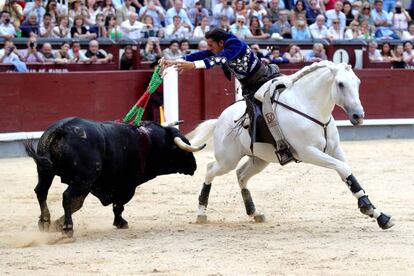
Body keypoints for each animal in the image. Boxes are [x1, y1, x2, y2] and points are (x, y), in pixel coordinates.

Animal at [25, 116, 204, 237]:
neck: (149, 141)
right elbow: (119, 205)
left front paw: (55, 224)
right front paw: (121, 222)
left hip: (46, 172)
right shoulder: (127, 186)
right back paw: (68, 228)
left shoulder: (95, 185)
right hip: (82, 179)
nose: (194, 166)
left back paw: (45, 222)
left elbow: (80, 204)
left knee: (41, 191)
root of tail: (62, 129)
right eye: (181, 149)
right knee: (67, 197)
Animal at [188, 61, 394, 230]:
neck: (309, 108)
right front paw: (368, 208)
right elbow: (343, 169)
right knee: (210, 169)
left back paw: (254, 213)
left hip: (259, 159)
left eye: (357, 82)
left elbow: (348, 174)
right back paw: (201, 212)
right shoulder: (309, 153)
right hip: (227, 159)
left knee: (241, 175)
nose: (358, 116)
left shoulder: (335, 150)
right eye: (341, 84)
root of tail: (219, 119)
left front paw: (379, 216)